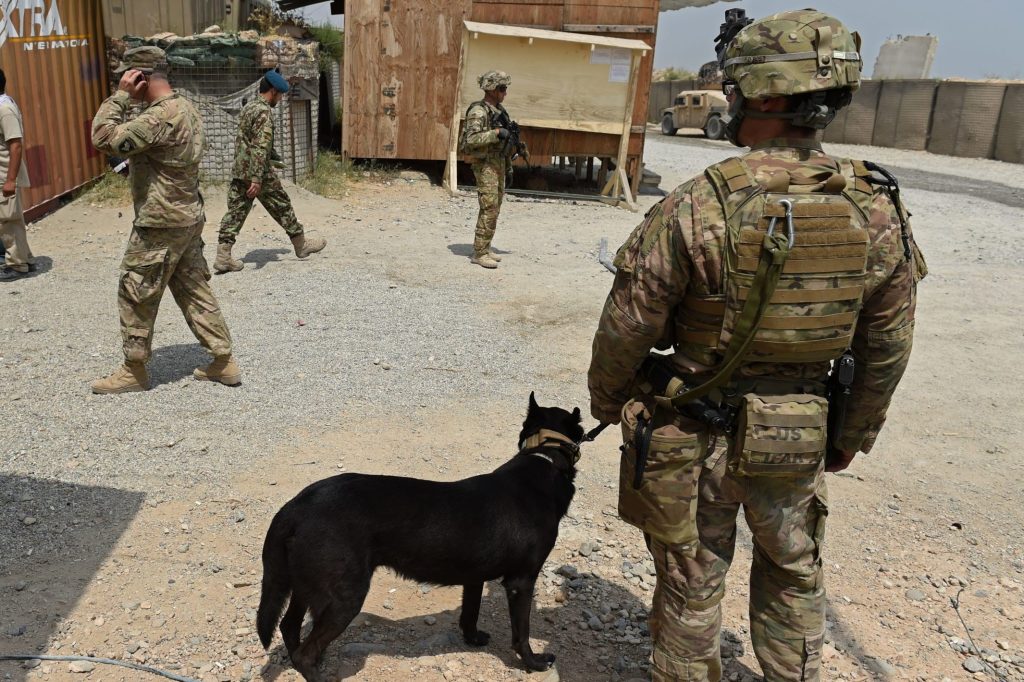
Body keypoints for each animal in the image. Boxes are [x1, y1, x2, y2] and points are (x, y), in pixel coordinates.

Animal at [256, 393, 585, 679]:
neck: (544, 459)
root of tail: (296, 506)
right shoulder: (521, 582)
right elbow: (522, 633)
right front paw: (534, 662)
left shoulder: (474, 577)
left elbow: (470, 613)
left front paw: (473, 638)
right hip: (343, 596)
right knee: (305, 652)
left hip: (305, 583)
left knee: (289, 627)